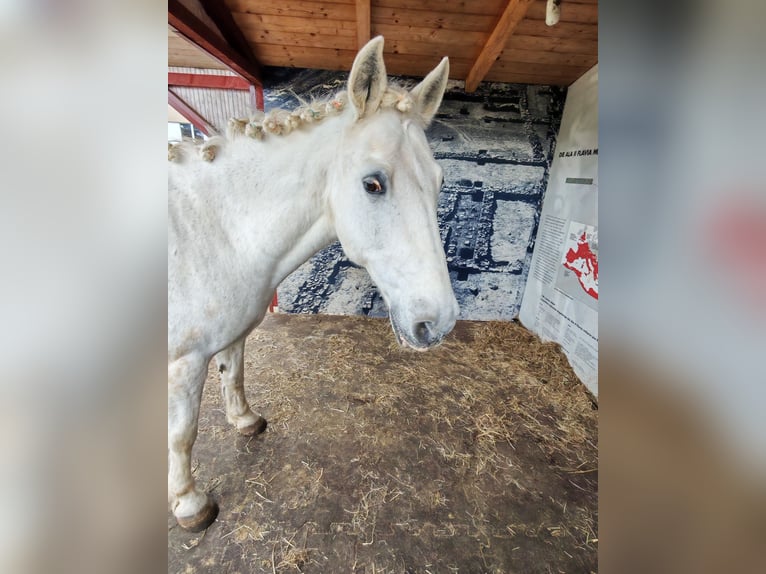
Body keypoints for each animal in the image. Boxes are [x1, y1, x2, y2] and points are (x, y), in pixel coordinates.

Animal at [168, 36, 458, 532]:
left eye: (439, 182)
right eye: (373, 184)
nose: (438, 323)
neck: (217, 230)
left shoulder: (233, 335)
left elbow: (234, 373)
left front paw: (245, 421)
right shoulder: (183, 363)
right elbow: (183, 434)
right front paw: (190, 503)